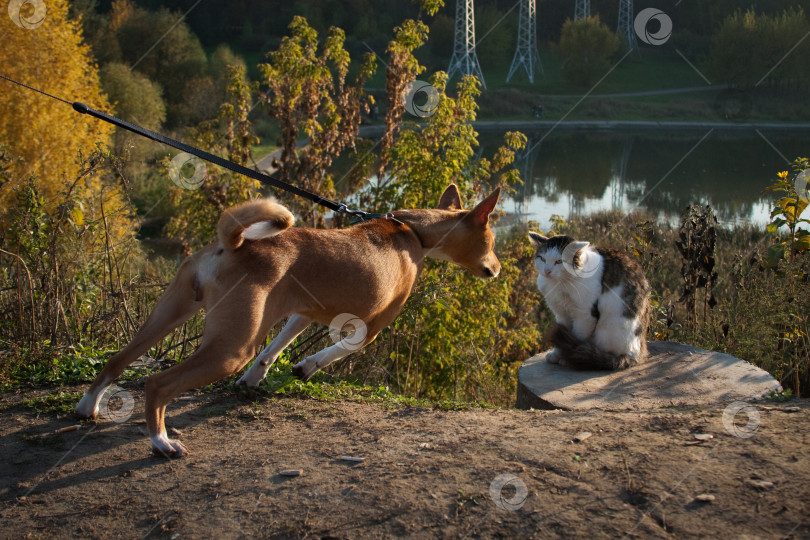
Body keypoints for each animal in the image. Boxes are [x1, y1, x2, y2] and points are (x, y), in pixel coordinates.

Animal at [79, 185, 502, 456]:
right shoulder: (374, 324)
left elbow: (274, 348)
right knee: (157, 383)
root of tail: (231, 244)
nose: (497, 269)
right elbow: (340, 348)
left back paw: (88, 407)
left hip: (168, 314)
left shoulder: (300, 310)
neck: (412, 231)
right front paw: (307, 367)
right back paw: (161, 442)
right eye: (492, 241)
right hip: (231, 347)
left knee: (116, 361)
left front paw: (254, 380)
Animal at [532, 233, 652, 372]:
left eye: (559, 261)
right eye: (542, 259)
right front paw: (557, 355)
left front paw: (566, 358)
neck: (560, 284)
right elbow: (562, 338)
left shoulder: (585, 315)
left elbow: (577, 336)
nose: (547, 271)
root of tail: (638, 354)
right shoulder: (561, 314)